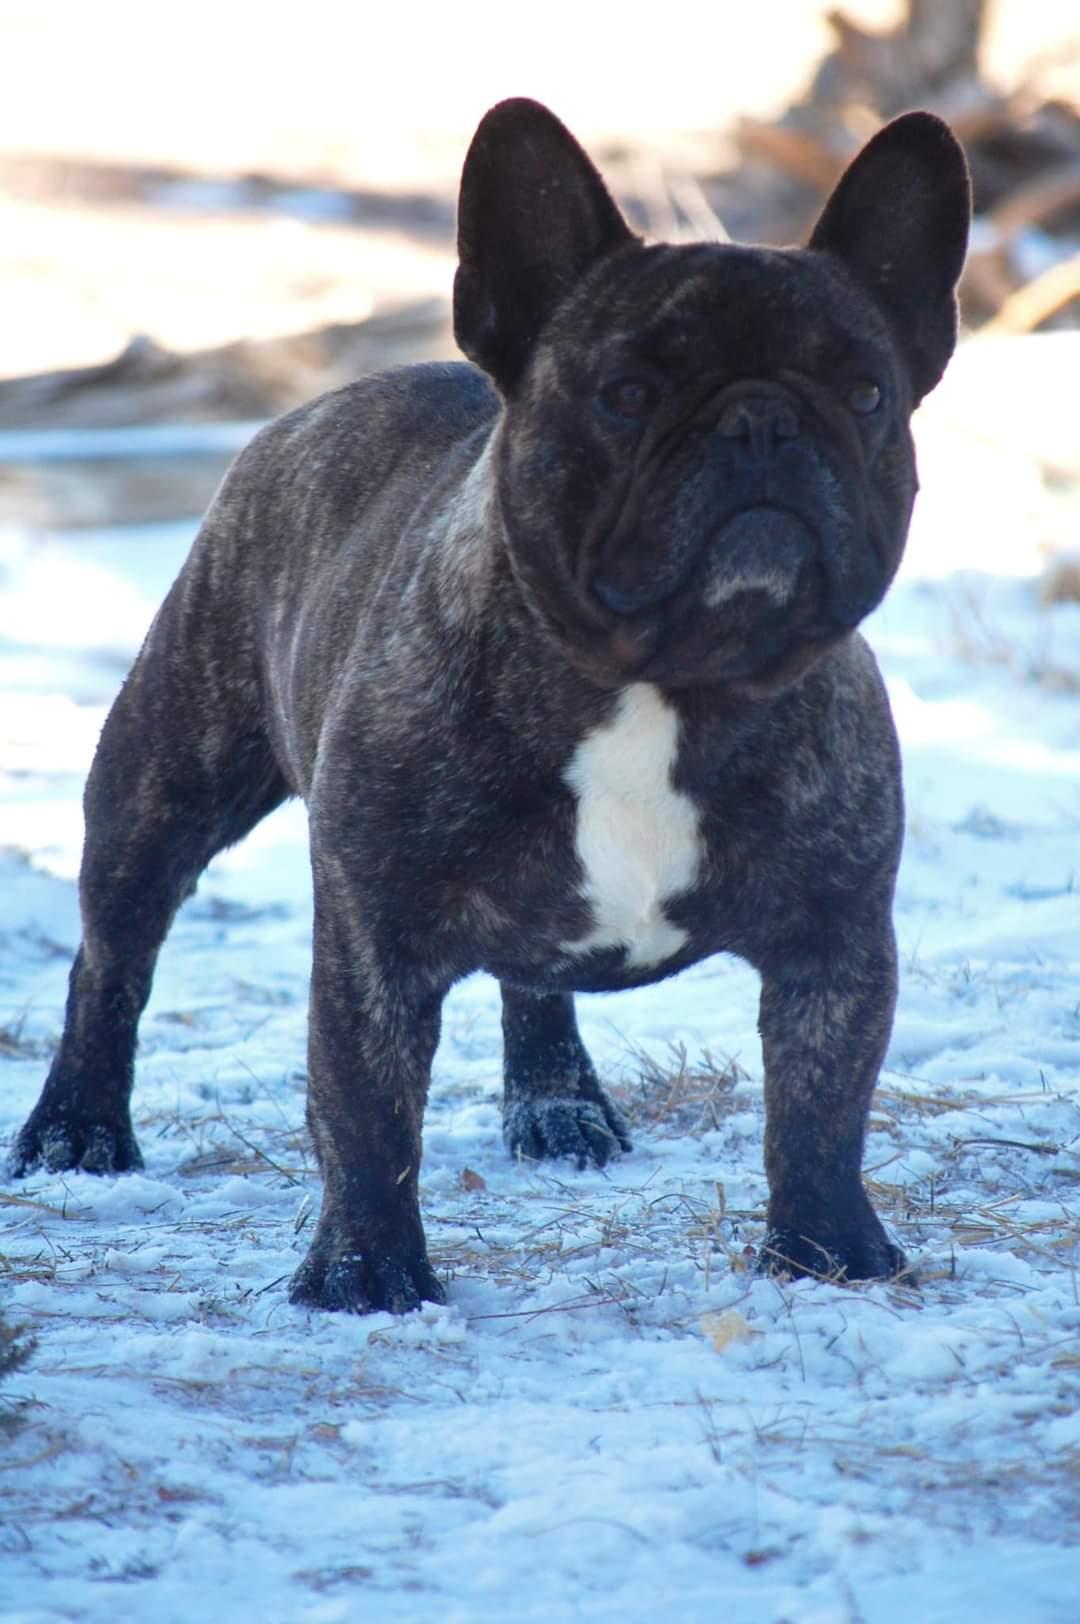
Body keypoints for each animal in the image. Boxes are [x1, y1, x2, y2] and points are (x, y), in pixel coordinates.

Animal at [12, 99, 970, 1312]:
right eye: (628, 394)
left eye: (866, 394)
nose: (762, 423)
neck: (664, 680)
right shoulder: (373, 941)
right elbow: (368, 1114)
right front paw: (366, 1277)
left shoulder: (835, 938)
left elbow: (821, 1107)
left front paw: (827, 1251)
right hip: (164, 784)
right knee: (112, 958)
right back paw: (75, 1131)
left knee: (537, 986)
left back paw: (559, 1104)